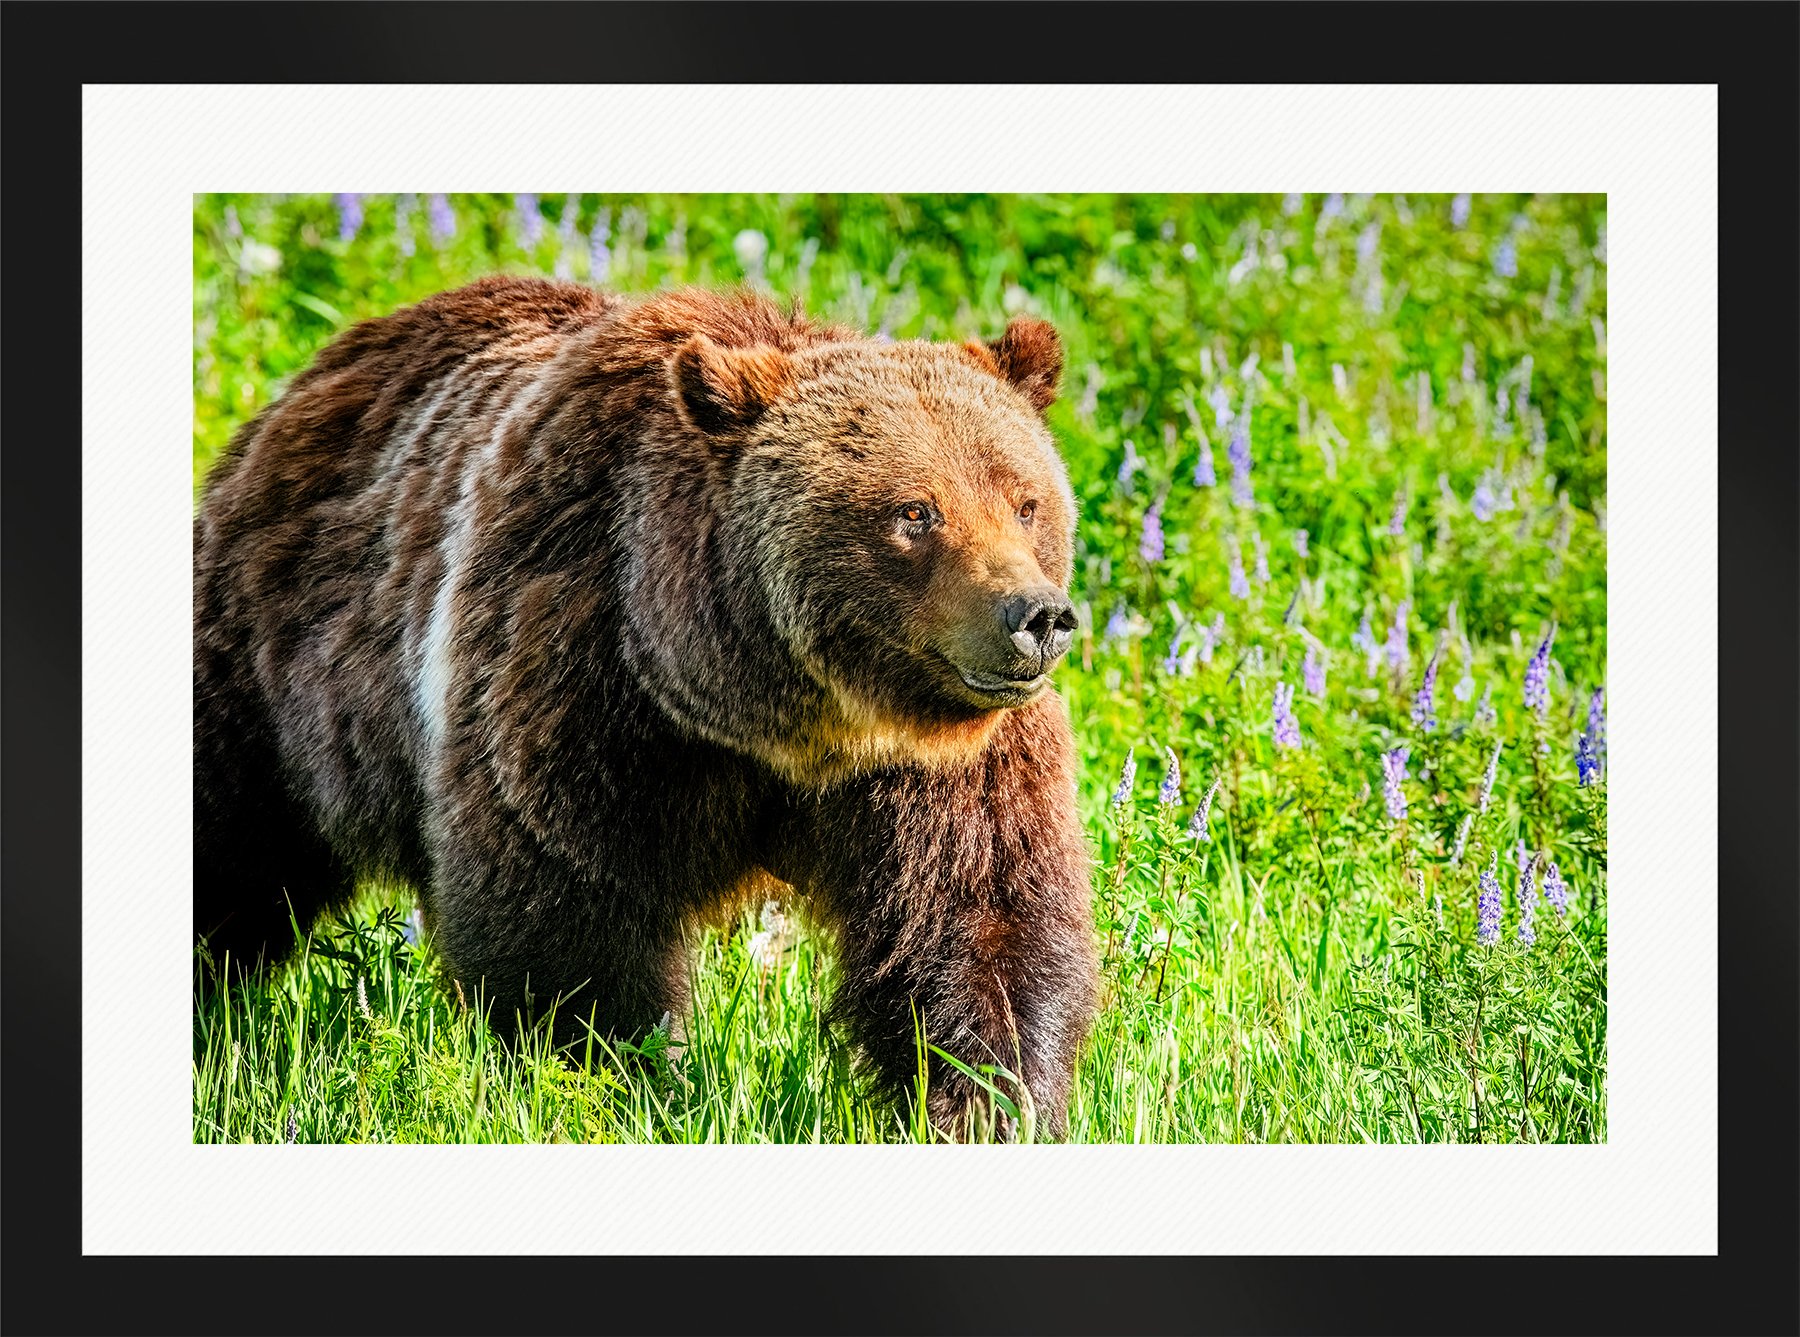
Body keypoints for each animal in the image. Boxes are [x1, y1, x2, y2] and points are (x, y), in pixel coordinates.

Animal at [194, 276, 1099, 1139]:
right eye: (915, 511)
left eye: (1025, 501)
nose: (1036, 615)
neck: (777, 715)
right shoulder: (585, 687)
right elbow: (569, 923)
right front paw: (618, 1081)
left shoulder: (941, 764)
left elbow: (979, 925)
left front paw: (990, 1104)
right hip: (273, 670)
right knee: (232, 841)